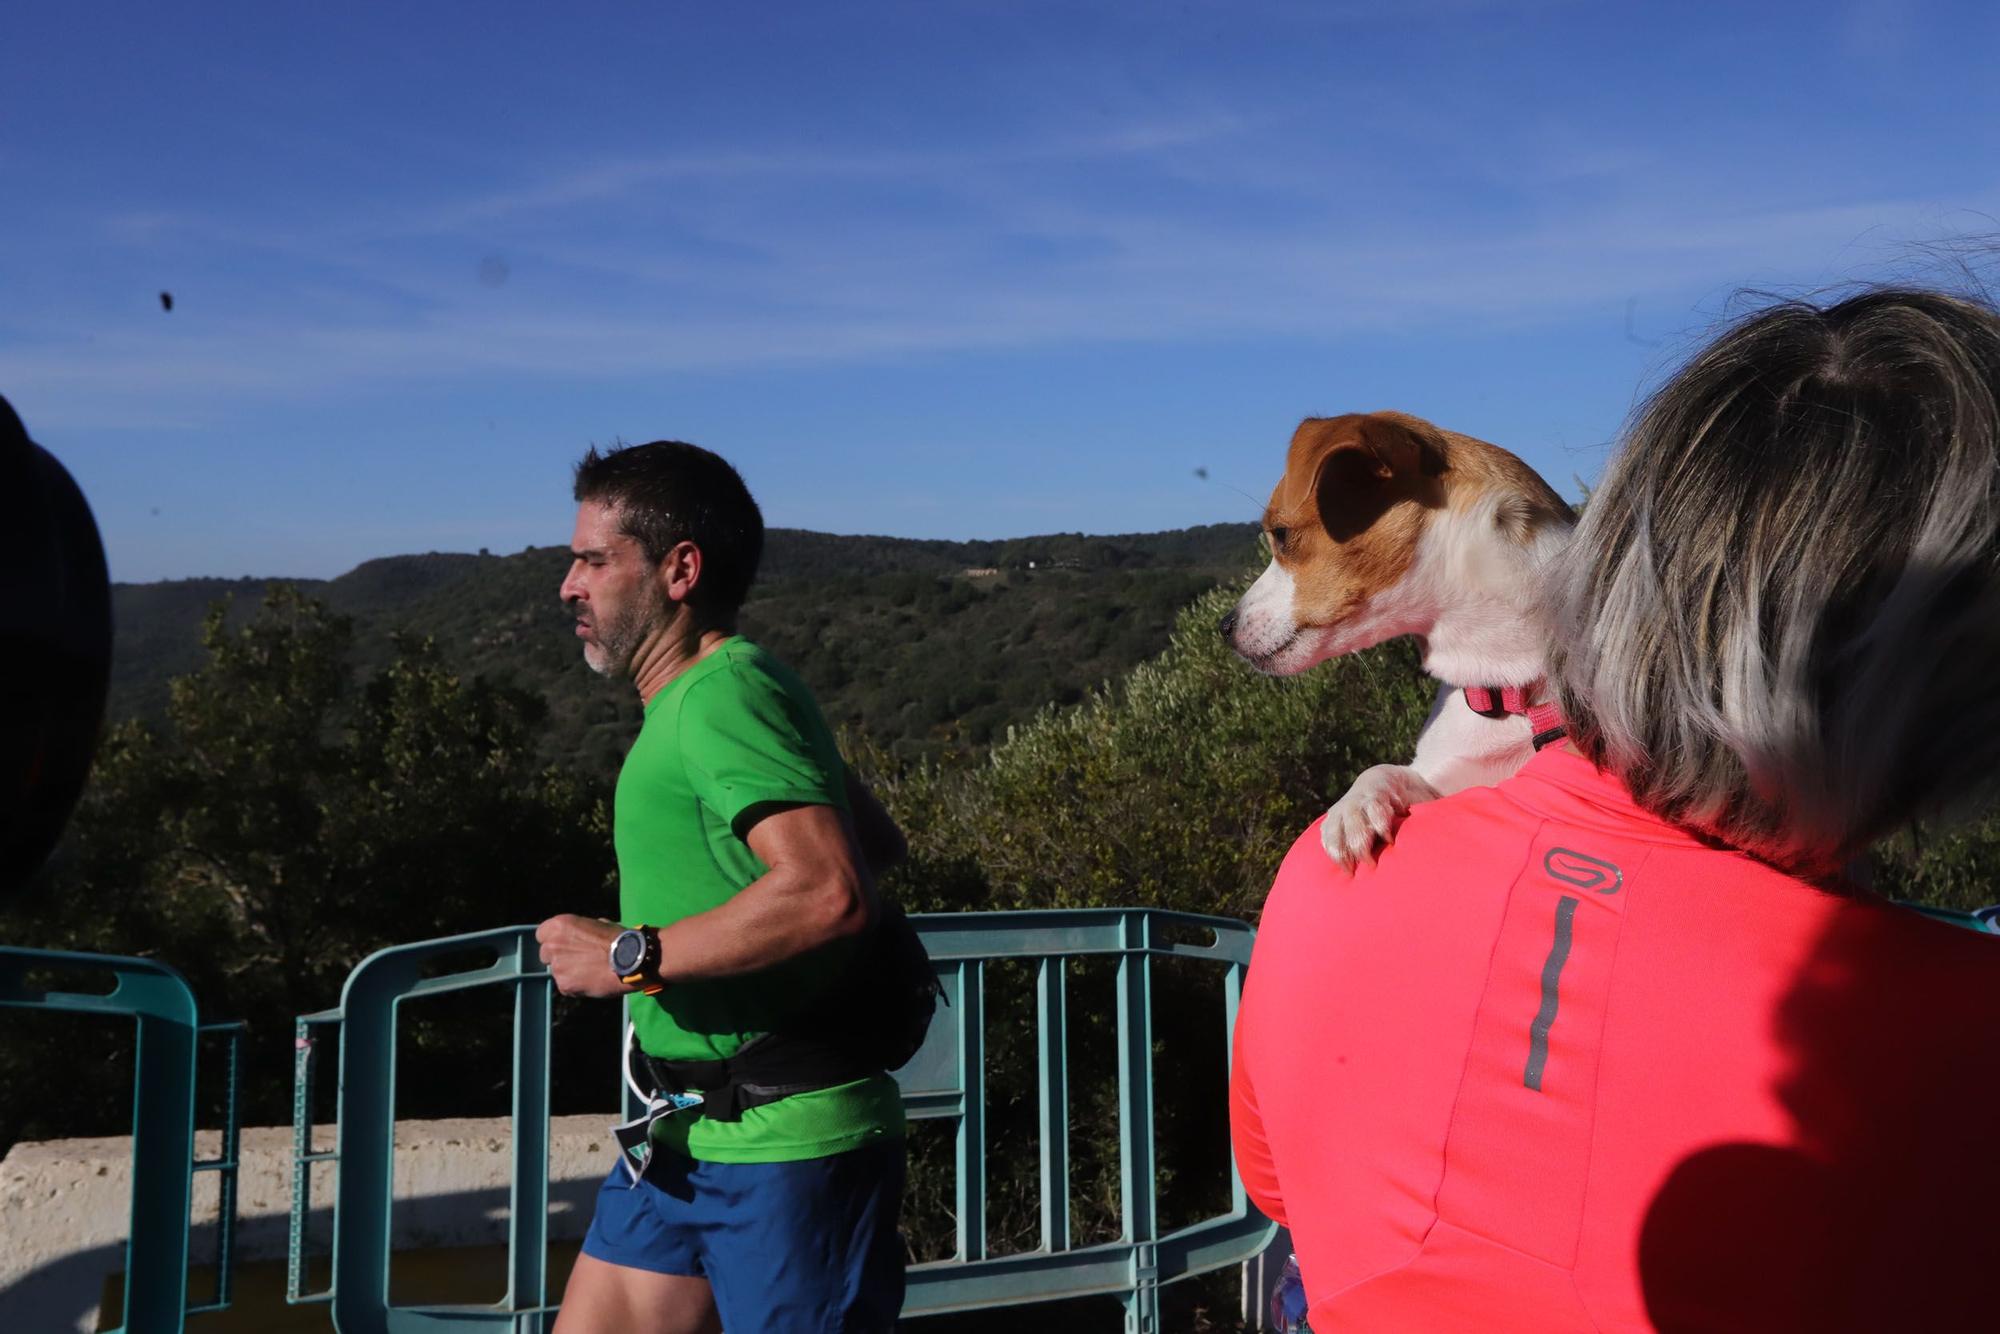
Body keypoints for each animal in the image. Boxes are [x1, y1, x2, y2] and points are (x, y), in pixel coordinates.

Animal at [1216, 412, 1576, 872]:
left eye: (1280, 534)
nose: (1224, 626)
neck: (1510, 688)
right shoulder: (1442, 781)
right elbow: (1384, 769)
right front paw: (1352, 807)